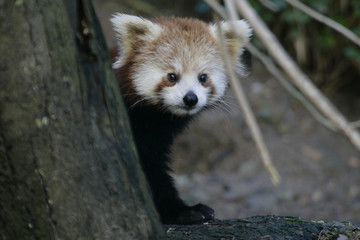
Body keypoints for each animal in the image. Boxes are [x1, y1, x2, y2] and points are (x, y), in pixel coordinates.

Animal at [111, 13, 252, 225]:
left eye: (203, 77)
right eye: (172, 76)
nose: (190, 98)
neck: (154, 119)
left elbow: (153, 163)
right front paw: (180, 211)